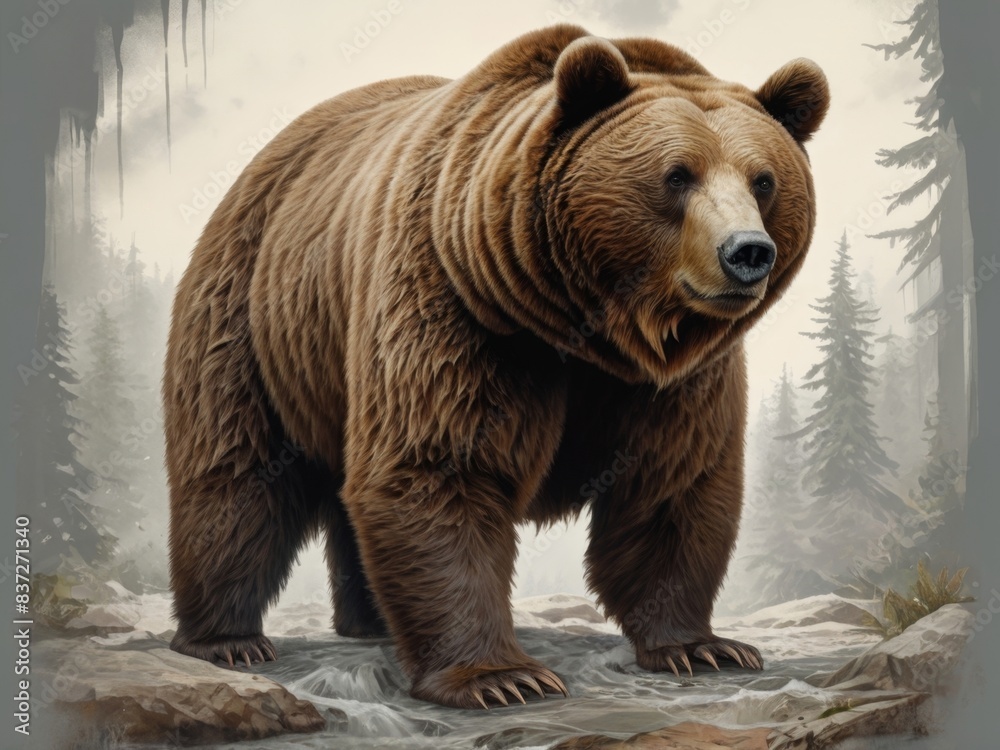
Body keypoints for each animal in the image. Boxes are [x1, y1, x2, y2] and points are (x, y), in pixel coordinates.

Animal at [163, 25, 829, 709]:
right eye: (677, 175)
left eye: (763, 179)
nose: (747, 252)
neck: (586, 329)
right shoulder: (458, 310)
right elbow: (440, 467)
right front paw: (502, 676)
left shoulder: (673, 379)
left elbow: (670, 484)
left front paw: (701, 646)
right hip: (254, 317)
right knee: (237, 477)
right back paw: (228, 638)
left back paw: (367, 620)